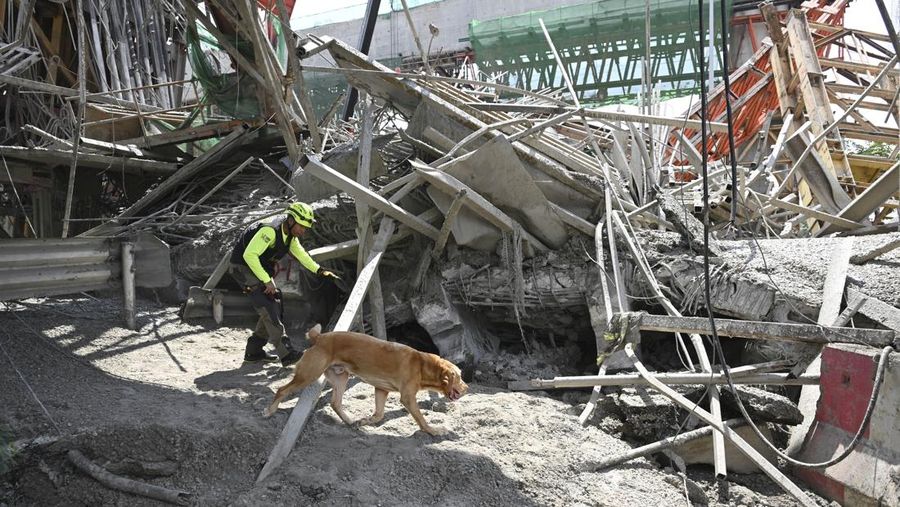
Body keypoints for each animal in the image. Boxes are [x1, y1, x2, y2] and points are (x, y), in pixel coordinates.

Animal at [264, 326, 468, 436]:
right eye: (460, 376)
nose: (467, 388)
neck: (422, 364)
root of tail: (320, 337)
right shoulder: (408, 398)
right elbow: (421, 419)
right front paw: (434, 431)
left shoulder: (381, 390)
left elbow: (379, 415)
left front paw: (364, 421)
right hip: (308, 374)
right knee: (282, 390)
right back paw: (269, 411)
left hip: (340, 377)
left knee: (335, 403)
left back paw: (350, 421)